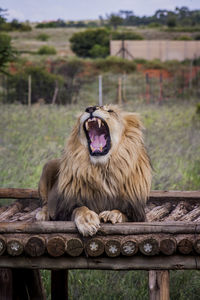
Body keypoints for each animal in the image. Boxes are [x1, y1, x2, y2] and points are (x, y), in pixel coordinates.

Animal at [36, 105, 152, 237]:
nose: (90, 108)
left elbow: (123, 213)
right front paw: (87, 221)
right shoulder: (63, 211)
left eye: (110, 111)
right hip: (48, 167)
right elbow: (80, 208)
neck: (102, 170)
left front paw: (112, 214)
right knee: (45, 203)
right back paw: (42, 214)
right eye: (86, 109)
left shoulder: (137, 213)